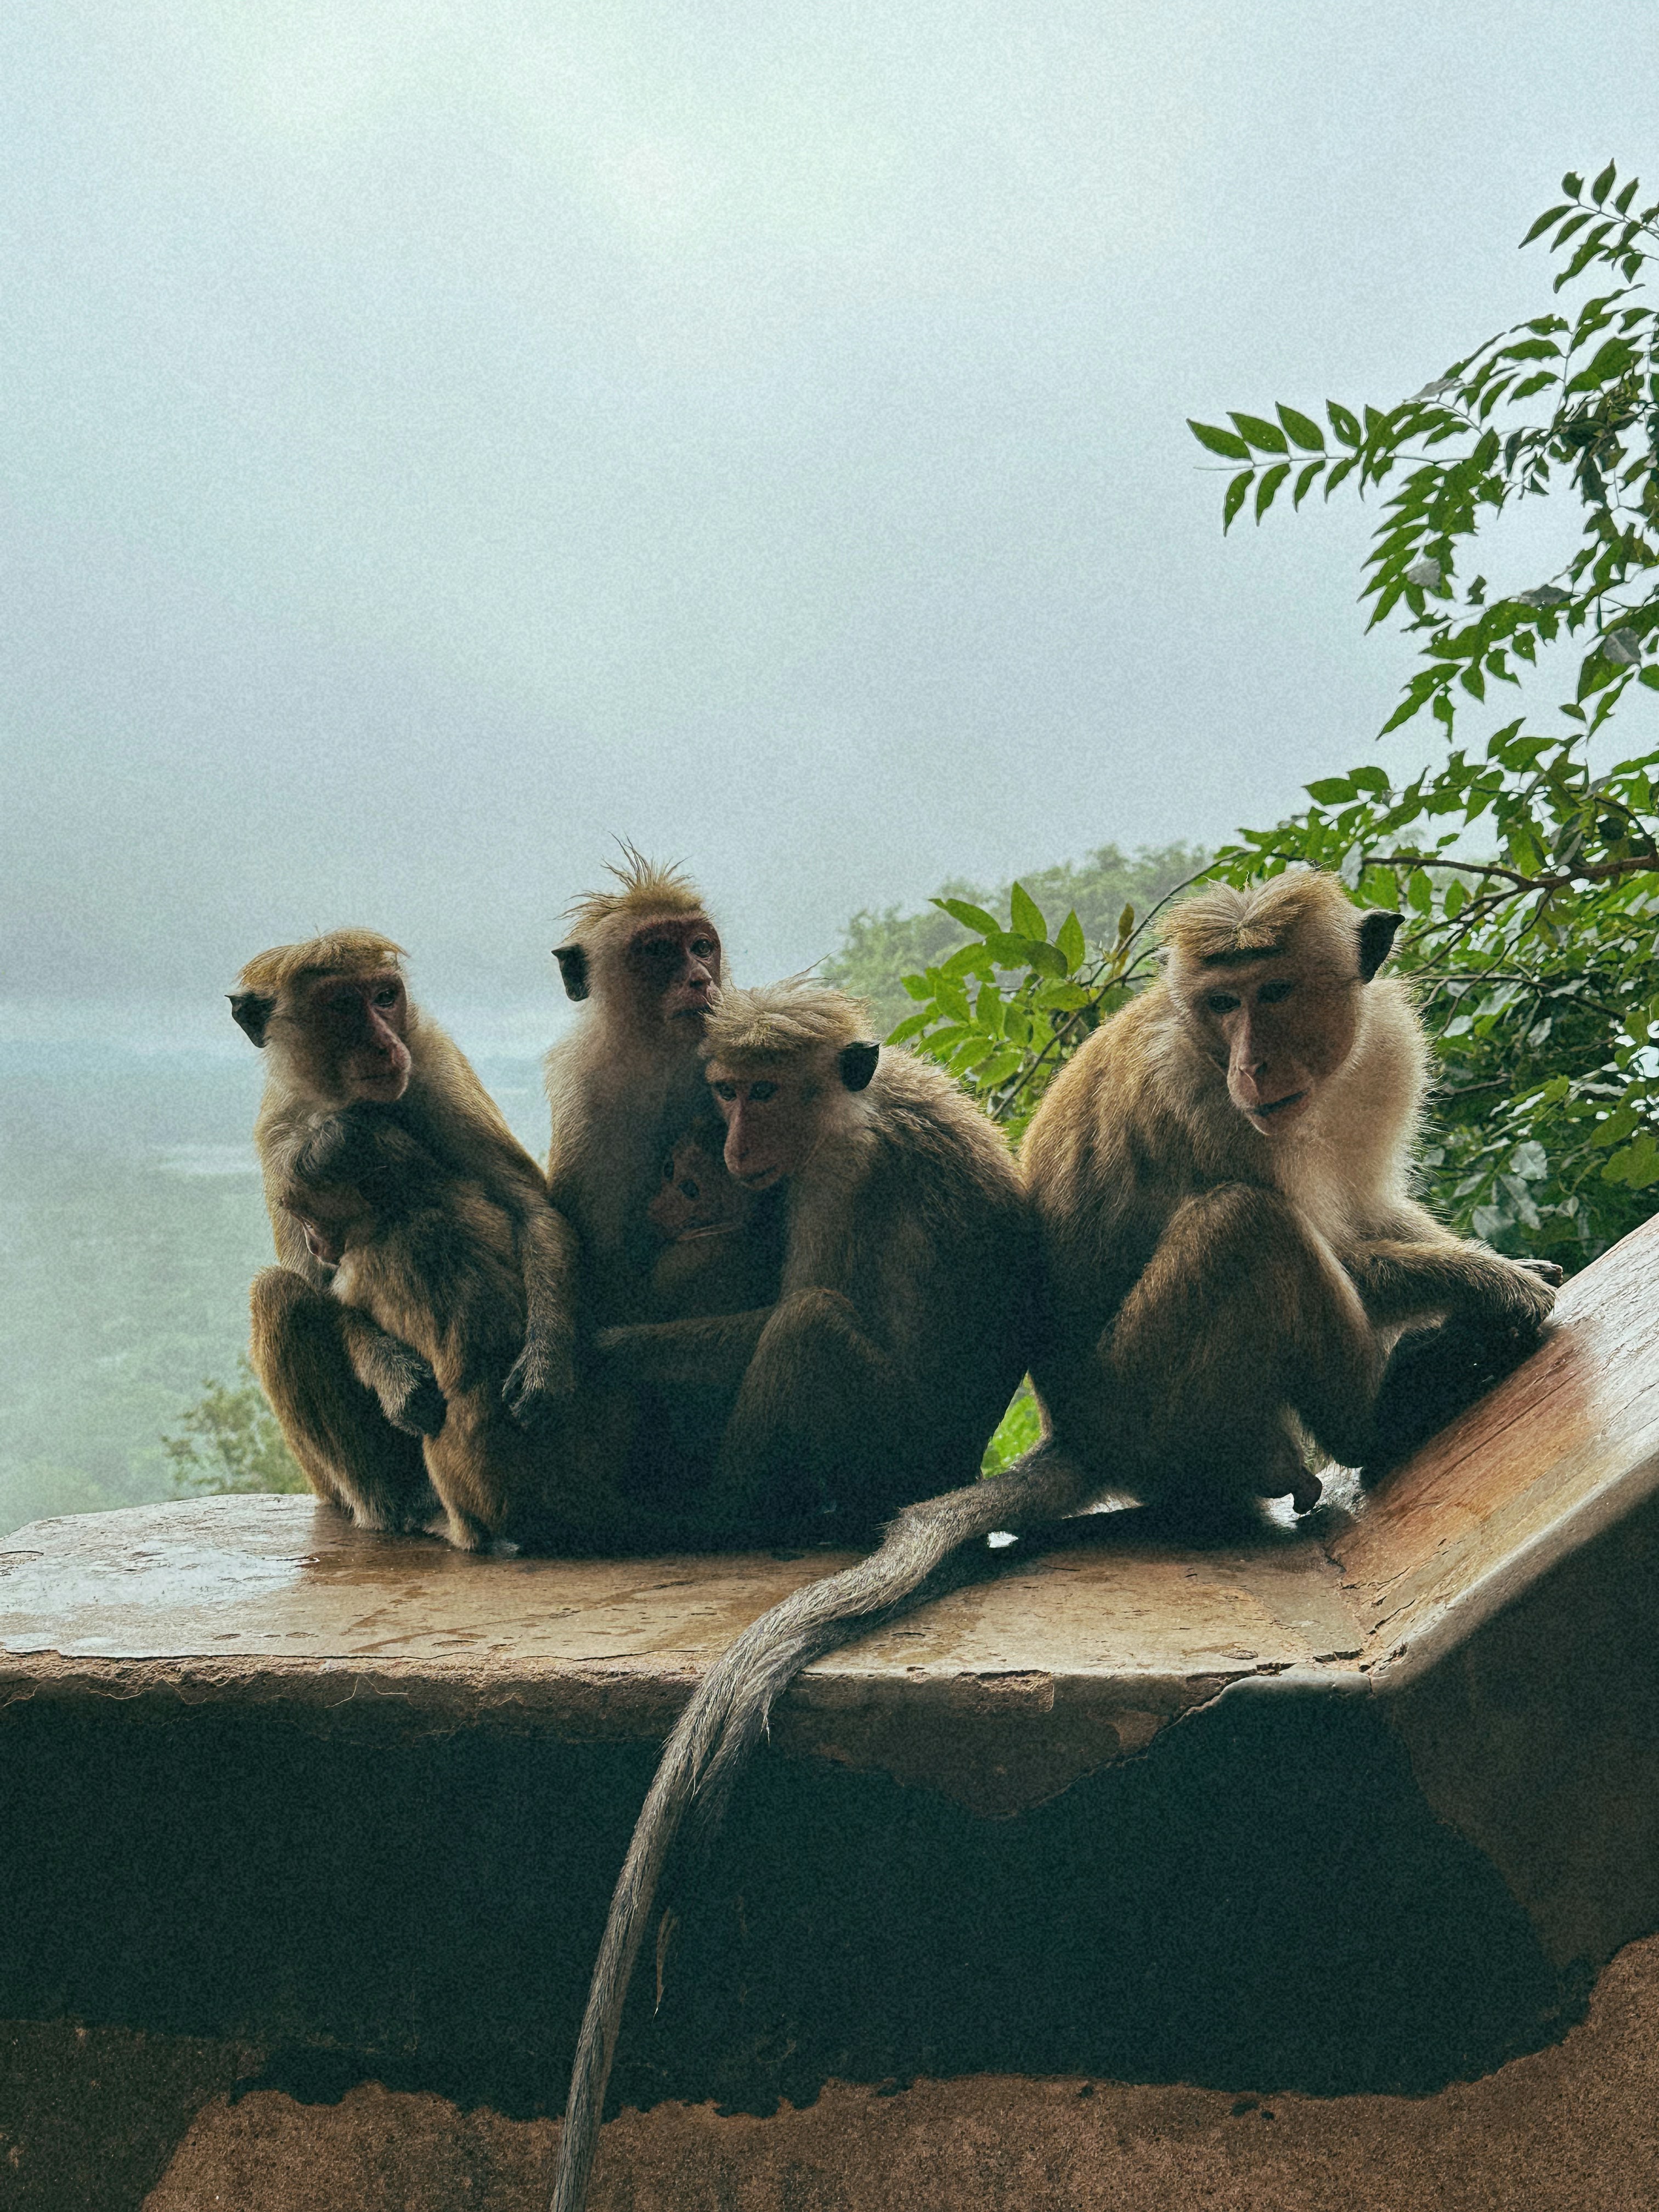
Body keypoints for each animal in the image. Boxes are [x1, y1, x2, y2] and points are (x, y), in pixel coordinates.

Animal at [235, 929, 626, 1550]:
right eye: (342, 1006)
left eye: (385, 997)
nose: (385, 1044)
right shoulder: (278, 1129)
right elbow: (315, 1285)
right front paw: (394, 1377)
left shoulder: (435, 1070)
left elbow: (528, 1206)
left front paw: (545, 1366)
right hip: (326, 1485)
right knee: (282, 1296)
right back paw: (391, 1502)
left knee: (277, 1297)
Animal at [548, 873, 1560, 2212]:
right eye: (1218, 1005)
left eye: (1271, 990)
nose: (1250, 1060)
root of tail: (1082, 1433)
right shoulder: (1204, 1106)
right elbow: (1325, 1232)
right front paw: (1491, 1283)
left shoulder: (1379, 1049)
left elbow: (1369, 1208)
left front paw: (1487, 1268)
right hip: (1161, 1398)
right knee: (1243, 1226)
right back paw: (1375, 1417)